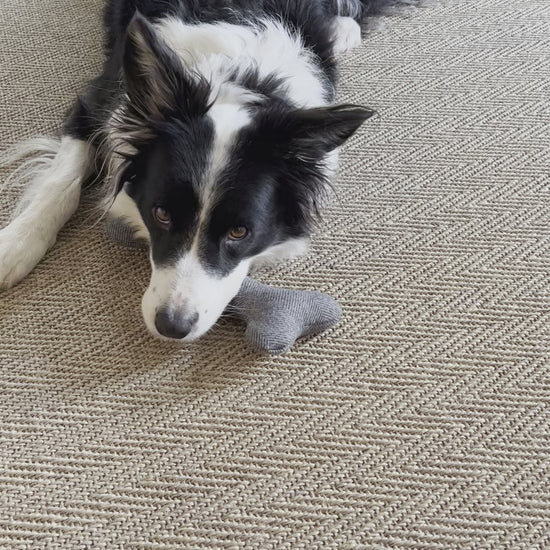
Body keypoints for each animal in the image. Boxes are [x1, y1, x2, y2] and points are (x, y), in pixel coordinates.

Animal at [0, 0, 414, 342]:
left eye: (239, 232)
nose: (172, 327)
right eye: (161, 214)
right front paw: (16, 244)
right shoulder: (99, 104)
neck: (233, 82)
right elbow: (60, 182)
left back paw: (343, 31)